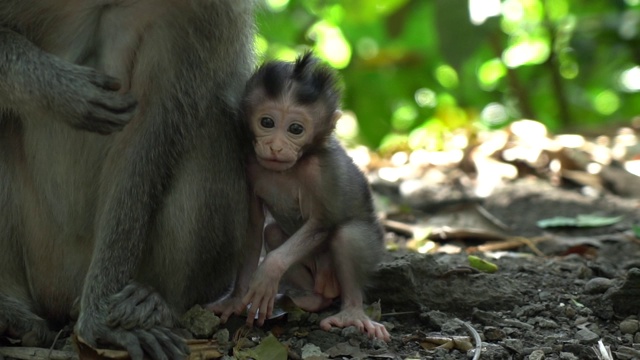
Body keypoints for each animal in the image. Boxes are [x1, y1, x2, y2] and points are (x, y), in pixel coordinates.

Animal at [0, 1, 255, 358]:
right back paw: (10, 311)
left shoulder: (207, 17)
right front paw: (61, 88)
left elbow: (146, 136)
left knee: (208, 122)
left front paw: (102, 316)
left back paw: (160, 303)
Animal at [211, 52, 390, 338]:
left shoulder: (321, 170)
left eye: (296, 129)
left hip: (369, 248)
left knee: (347, 235)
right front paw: (236, 298)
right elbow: (254, 227)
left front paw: (269, 271)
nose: (275, 146)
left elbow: (322, 223)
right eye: (267, 122)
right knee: (273, 233)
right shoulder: (249, 164)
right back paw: (312, 299)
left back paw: (352, 313)